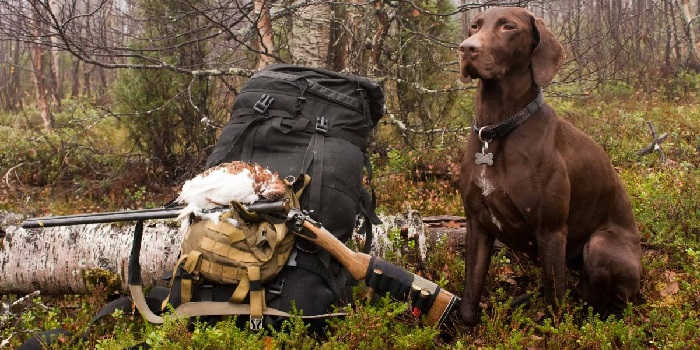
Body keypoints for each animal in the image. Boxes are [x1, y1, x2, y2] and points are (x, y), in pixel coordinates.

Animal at [456, 6, 644, 324]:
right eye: (475, 25)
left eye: (508, 27)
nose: (467, 49)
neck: (497, 130)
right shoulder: (477, 224)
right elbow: (470, 295)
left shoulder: (551, 231)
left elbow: (555, 303)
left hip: (600, 246)